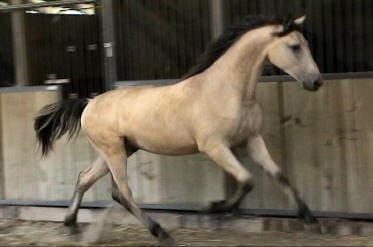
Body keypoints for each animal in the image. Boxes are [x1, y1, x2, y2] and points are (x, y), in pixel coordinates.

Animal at [35, 15, 322, 245]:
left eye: (306, 45)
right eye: (294, 47)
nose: (316, 82)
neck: (227, 90)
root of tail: (88, 103)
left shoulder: (251, 140)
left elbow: (280, 176)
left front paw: (311, 221)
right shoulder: (215, 146)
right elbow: (246, 179)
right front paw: (213, 208)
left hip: (119, 150)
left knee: (87, 179)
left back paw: (72, 226)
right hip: (113, 151)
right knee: (123, 192)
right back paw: (162, 234)